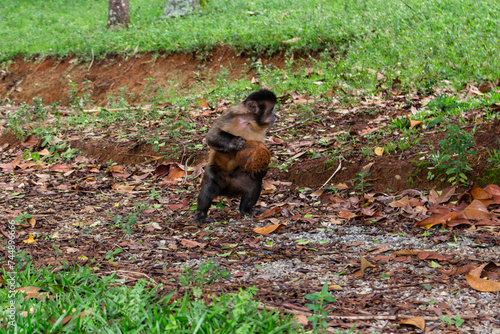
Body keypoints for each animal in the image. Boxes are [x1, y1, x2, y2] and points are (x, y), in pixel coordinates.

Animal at [194, 90, 278, 223]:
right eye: (271, 109)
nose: (275, 115)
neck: (248, 121)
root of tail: (227, 190)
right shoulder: (230, 115)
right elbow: (211, 136)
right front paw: (235, 142)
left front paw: (259, 170)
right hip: (219, 174)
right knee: (210, 183)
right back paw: (201, 214)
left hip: (237, 180)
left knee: (253, 183)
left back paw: (246, 209)